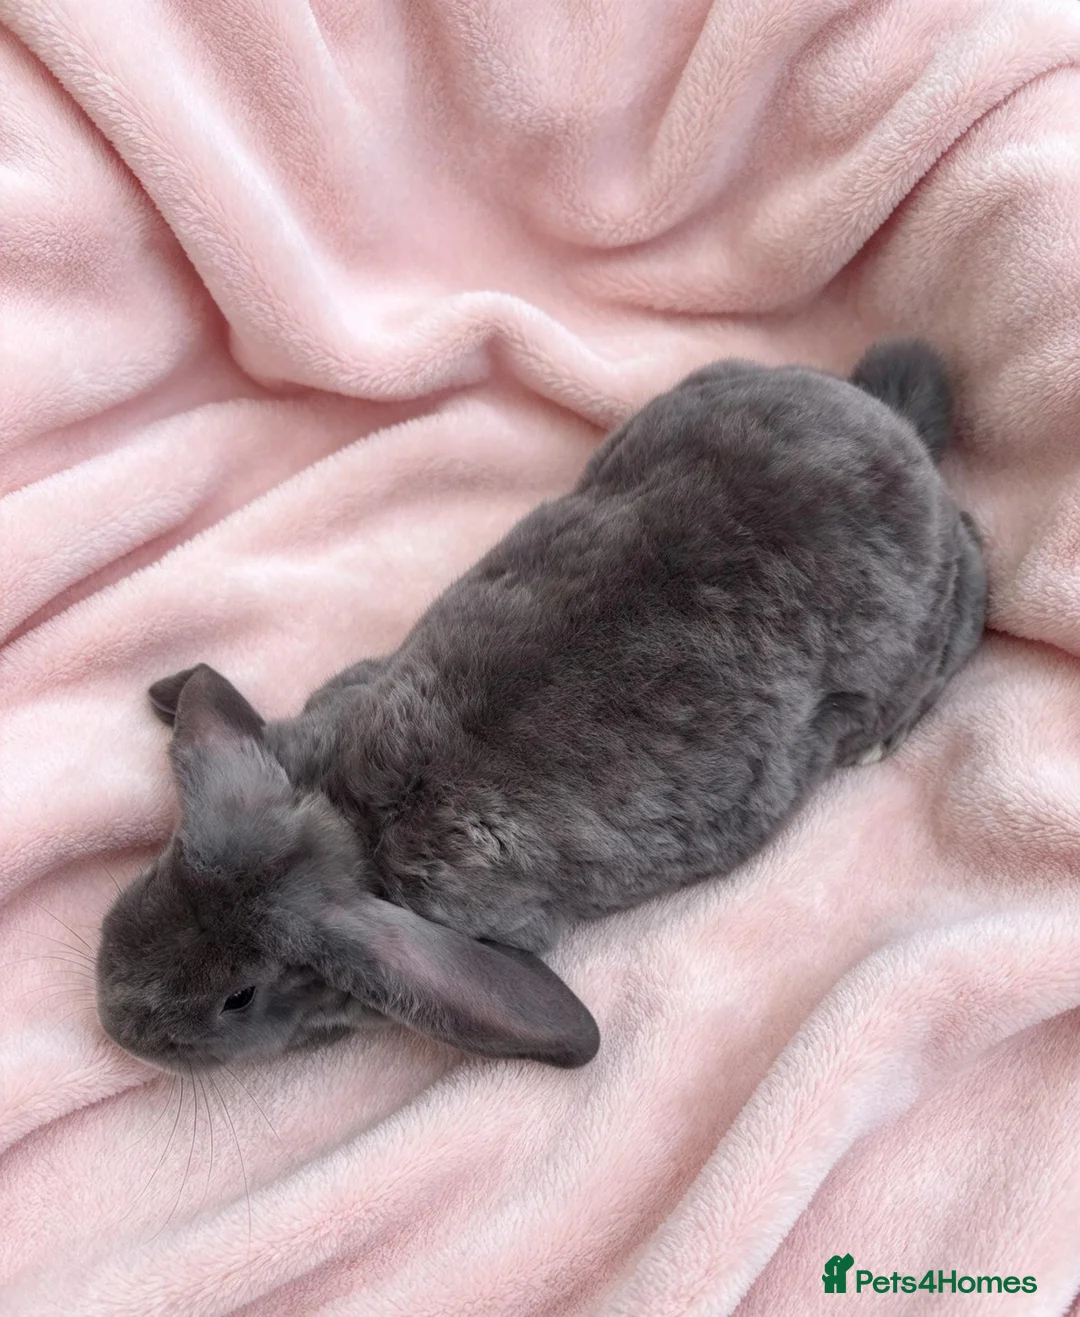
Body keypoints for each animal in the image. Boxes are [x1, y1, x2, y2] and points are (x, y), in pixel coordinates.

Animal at [95, 338, 987, 1073]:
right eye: (172, 862)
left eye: (239, 995)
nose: (113, 1018)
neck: (356, 825)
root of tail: (893, 428)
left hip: (920, 628)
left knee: (976, 571)